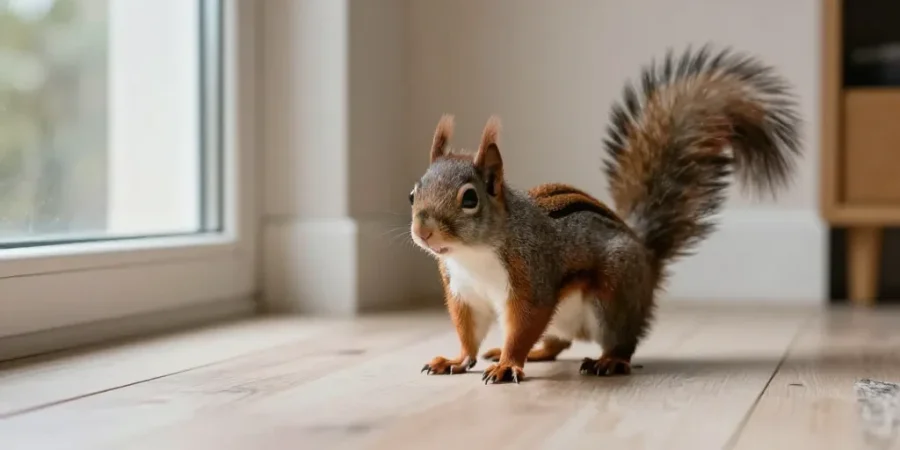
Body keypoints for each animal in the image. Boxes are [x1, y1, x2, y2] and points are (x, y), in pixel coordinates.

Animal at [409, 45, 802, 384]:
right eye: (413, 193)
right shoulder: (464, 293)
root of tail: (647, 256)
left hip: (613, 295)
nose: (423, 232)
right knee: (558, 342)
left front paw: (508, 364)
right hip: (570, 317)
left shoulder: (532, 279)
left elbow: (523, 325)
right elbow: (468, 332)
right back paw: (536, 353)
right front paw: (457, 360)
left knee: (623, 341)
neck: (473, 256)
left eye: (470, 199)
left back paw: (609, 360)